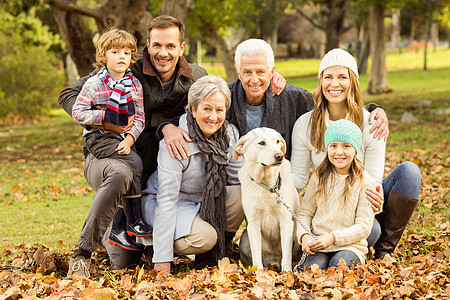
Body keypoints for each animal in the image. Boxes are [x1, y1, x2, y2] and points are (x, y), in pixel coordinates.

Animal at [234, 126, 300, 272]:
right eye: (262, 143)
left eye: (277, 141)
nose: (280, 156)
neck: (268, 185)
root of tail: (272, 261)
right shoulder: (253, 224)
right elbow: (256, 252)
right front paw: (258, 272)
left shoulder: (286, 222)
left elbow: (286, 254)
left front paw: (287, 273)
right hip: (245, 237)